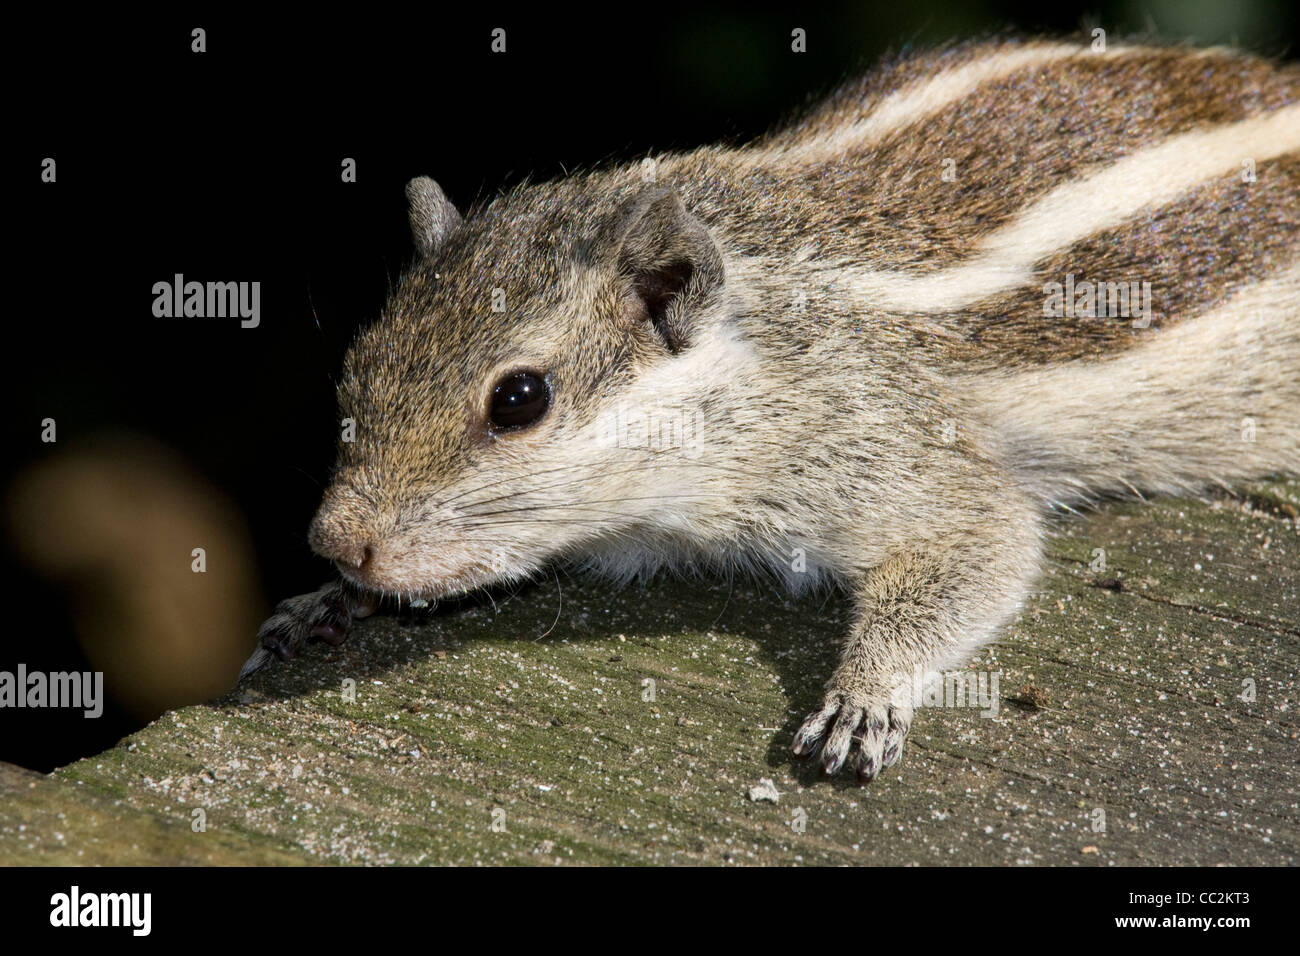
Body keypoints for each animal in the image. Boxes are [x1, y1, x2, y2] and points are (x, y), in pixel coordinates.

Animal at [239, 39, 1294, 785]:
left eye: (519, 399)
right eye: (357, 366)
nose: (336, 539)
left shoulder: (899, 447)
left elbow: (981, 550)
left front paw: (863, 699)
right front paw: (326, 600)